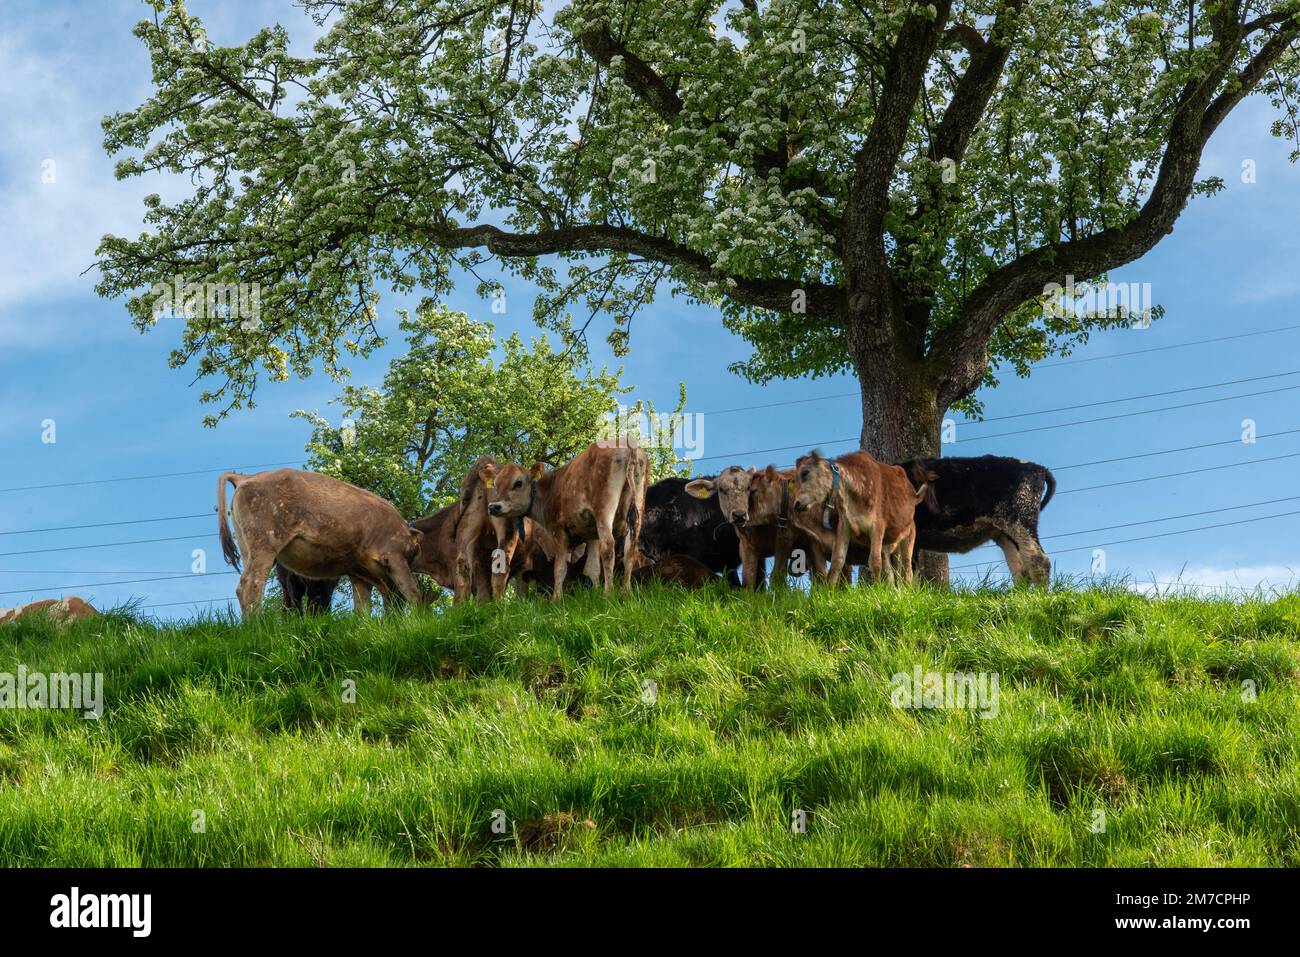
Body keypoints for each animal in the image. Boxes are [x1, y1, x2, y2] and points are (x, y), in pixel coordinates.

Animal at [217, 468, 424, 617]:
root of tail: (244, 478)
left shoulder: (359, 574)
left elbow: (362, 609)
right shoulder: (395, 557)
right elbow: (413, 591)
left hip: (248, 549)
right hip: (264, 546)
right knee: (251, 586)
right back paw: (257, 627)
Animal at [479, 440, 649, 600]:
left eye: (518, 483)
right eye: (495, 484)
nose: (493, 507)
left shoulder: (559, 530)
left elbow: (560, 568)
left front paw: (556, 599)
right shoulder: (592, 533)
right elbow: (592, 567)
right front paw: (593, 596)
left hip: (604, 509)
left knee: (608, 547)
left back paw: (608, 594)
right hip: (638, 503)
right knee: (630, 548)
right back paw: (626, 592)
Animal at [684, 465, 826, 588]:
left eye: (748, 488)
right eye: (721, 490)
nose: (739, 515)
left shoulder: (784, 539)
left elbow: (776, 577)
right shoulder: (747, 546)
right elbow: (748, 579)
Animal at [791, 451, 935, 585]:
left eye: (805, 473)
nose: (796, 504)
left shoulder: (877, 525)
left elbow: (874, 561)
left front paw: (877, 589)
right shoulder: (844, 526)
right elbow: (837, 560)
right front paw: (829, 589)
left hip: (909, 535)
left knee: (907, 568)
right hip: (889, 544)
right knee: (891, 571)